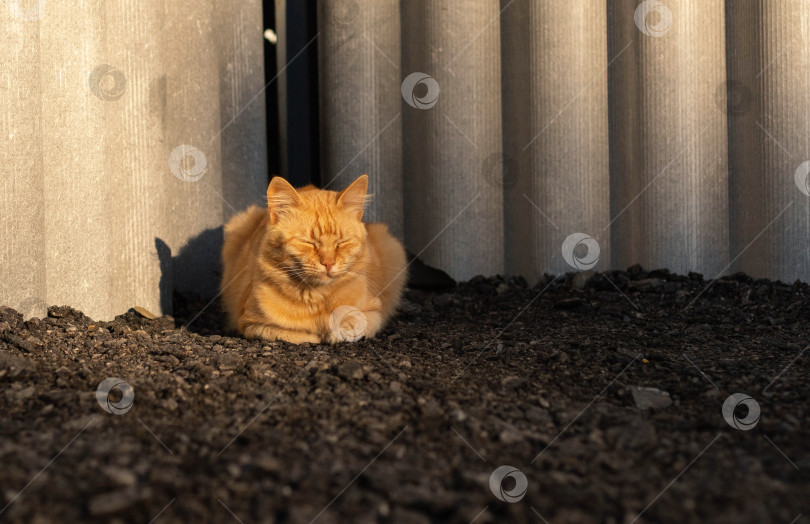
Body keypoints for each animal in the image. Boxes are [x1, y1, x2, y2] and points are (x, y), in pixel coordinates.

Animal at [219, 174, 404, 342]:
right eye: (308, 242)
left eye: (341, 243)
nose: (328, 263)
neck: (317, 296)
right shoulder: (251, 324)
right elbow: (294, 333)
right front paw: (316, 334)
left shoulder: (375, 312)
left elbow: (353, 323)